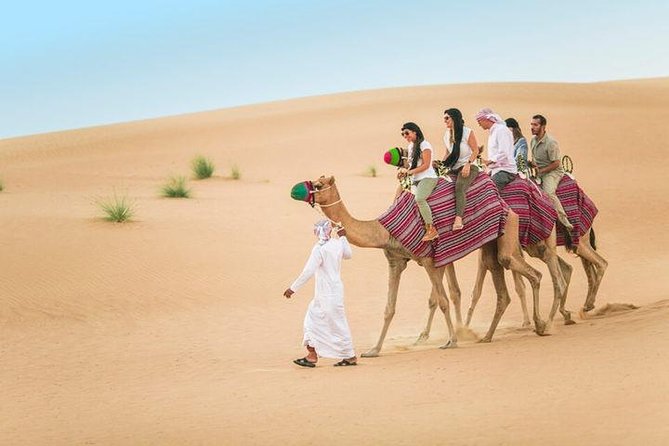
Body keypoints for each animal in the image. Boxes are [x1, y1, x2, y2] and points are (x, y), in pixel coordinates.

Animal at [300, 175, 547, 357]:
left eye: (319, 185)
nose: (299, 190)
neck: (383, 230)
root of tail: (502, 199)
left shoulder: (429, 260)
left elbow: (443, 301)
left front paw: (451, 341)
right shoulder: (396, 261)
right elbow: (389, 308)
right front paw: (374, 350)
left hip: (508, 230)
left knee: (528, 271)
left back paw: (541, 324)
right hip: (491, 243)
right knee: (504, 280)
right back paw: (490, 335)